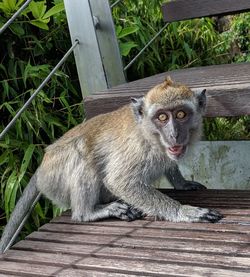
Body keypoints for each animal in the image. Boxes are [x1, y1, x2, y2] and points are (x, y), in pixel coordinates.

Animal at [0, 77, 223, 252]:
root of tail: (42, 165)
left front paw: (182, 183)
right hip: (54, 177)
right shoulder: (138, 150)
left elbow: (170, 164)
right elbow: (120, 181)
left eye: (181, 114)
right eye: (162, 117)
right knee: (82, 154)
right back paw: (89, 212)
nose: (174, 134)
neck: (151, 136)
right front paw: (183, 211)